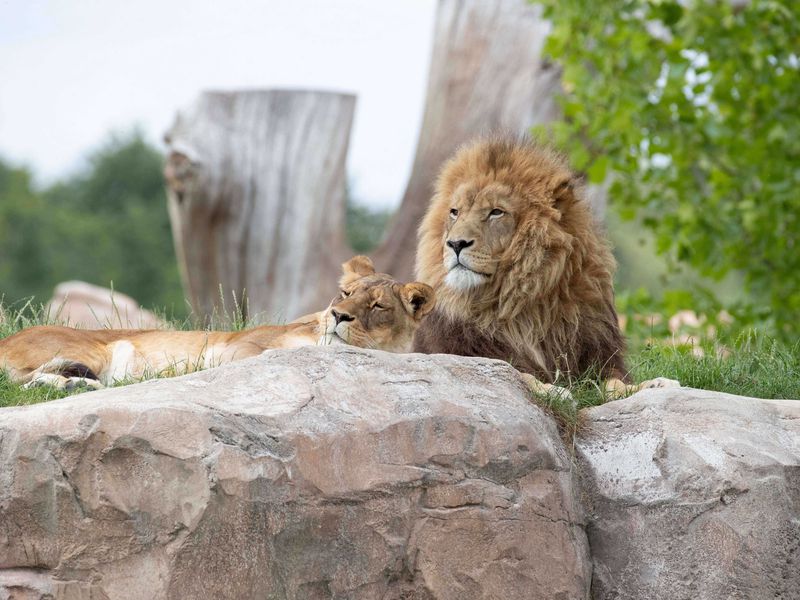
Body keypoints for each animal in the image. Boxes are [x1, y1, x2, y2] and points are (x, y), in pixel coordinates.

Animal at [0, 256, 434, 391]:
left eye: (377, 305)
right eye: (344, 294)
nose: (337, 316)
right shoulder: (239, 346)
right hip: (92, 350)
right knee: (20, 380)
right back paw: (75, 382)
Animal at [413, 136, 678, 398]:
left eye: (496, 212)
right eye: (455, 212)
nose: (456, 243)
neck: (522, 303)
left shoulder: (596, 357)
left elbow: (615, 383)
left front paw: (654, 384)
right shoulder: (461, 353)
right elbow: (518, 373)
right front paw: (554, 390)